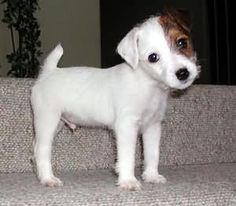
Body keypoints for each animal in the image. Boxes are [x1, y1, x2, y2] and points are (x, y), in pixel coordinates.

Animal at [31, 8, 200, 191]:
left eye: (182, 42)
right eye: (153, 57)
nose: (183, 73)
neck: (148, 84)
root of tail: (49, 72)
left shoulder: (152, 127)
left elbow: (152, 153)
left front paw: (151, 176)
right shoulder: (127, 126)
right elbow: (128, 156)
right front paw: (128, 181)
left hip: (57, 123)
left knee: (35, 147)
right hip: (48, 121)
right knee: (42, 150)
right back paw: (48, 178)